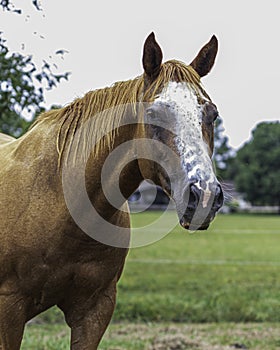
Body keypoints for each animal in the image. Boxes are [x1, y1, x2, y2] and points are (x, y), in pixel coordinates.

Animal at [0, 32, 223, 348]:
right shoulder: (9, 310)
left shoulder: (95, 309)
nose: (204, 195)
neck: (59, 200)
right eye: (154, 114)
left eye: (212, 114)